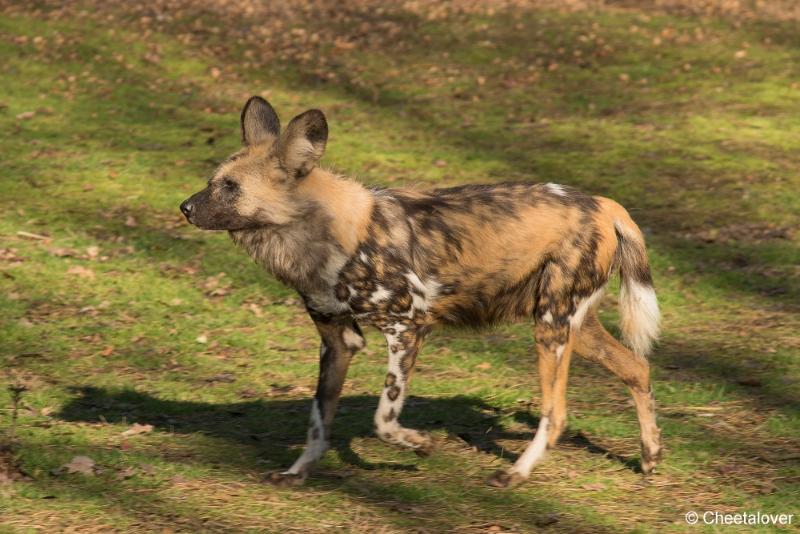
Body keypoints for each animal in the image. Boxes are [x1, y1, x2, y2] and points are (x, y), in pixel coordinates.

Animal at [181, 96, 664, 490]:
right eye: (212, 180)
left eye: (230, 188)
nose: (184, 207)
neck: (318, 235)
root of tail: (602, 203)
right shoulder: (338, 341)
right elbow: (318, 424)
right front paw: (297, 473)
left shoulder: (408, 327)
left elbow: (384, 418)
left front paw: (419, 444)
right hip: (570, 327)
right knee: (637, 368)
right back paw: (650, 457)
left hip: (551, 330)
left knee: (556, 413)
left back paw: (515, 474)